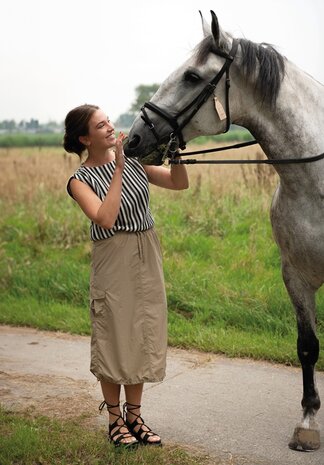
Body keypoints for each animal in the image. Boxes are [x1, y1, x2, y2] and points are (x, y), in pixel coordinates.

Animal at [123, 10, 324, 450]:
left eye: (192, 76)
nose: (133, 139)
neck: (316, 182)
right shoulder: (295, 276)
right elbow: (307, 347)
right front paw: (308, 421)